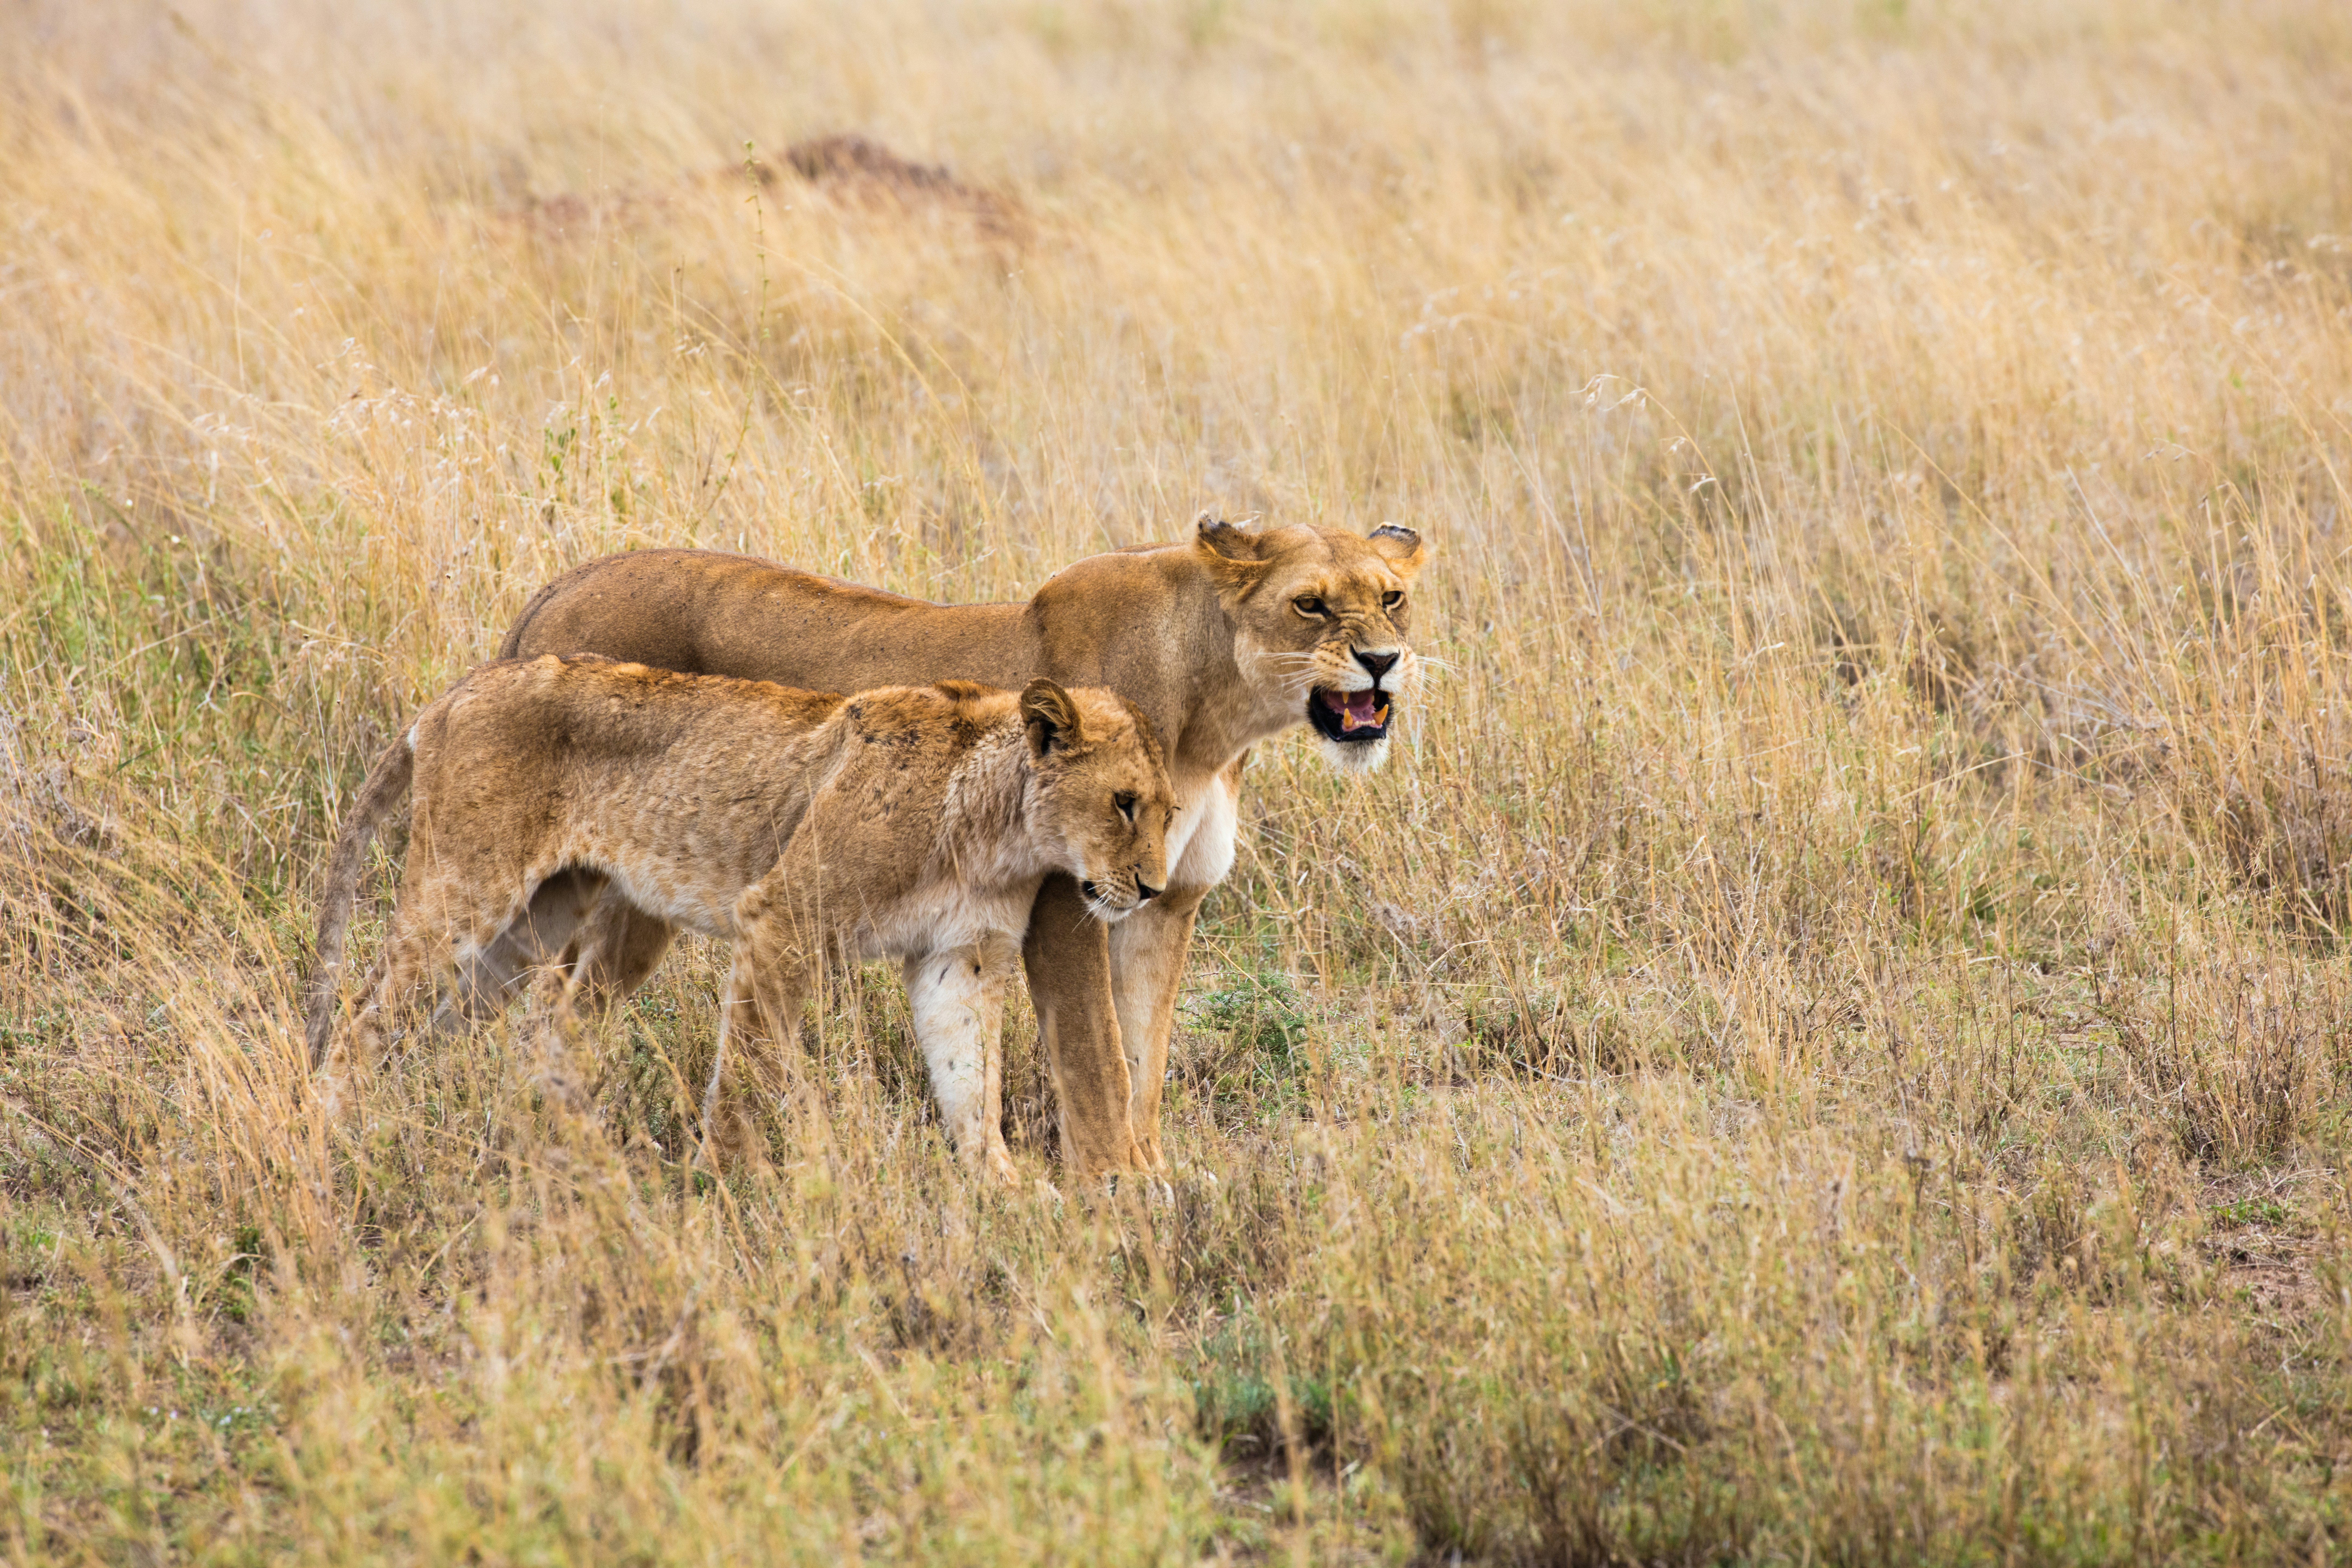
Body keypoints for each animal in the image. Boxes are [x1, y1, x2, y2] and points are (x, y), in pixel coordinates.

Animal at [303, 656, 1172, 1180]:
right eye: (1125, 804)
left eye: (1168, 812)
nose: (1154, 890)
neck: (997, 832)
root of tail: (461, 687)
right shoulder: (783, 919)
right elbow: (750, 1070)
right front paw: (723, 1186)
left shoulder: (960, 956)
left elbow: (971, 1082)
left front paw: (1006, 1191)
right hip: (465, 889)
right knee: (363, 1018)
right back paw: (326, 1139)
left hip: (530, 926)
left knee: (478, 1031)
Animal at [489, 516, 1431, 1174]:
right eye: (1309, 603)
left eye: (1391, 597)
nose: (1383, 661)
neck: (1218, 719)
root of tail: (559, 587)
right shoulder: (1066, 907)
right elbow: (1099, 1060)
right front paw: (1119, 1196)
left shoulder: (1166, 903)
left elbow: (1147, 1058)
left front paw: (1157, 1178)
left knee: (561, 1020)